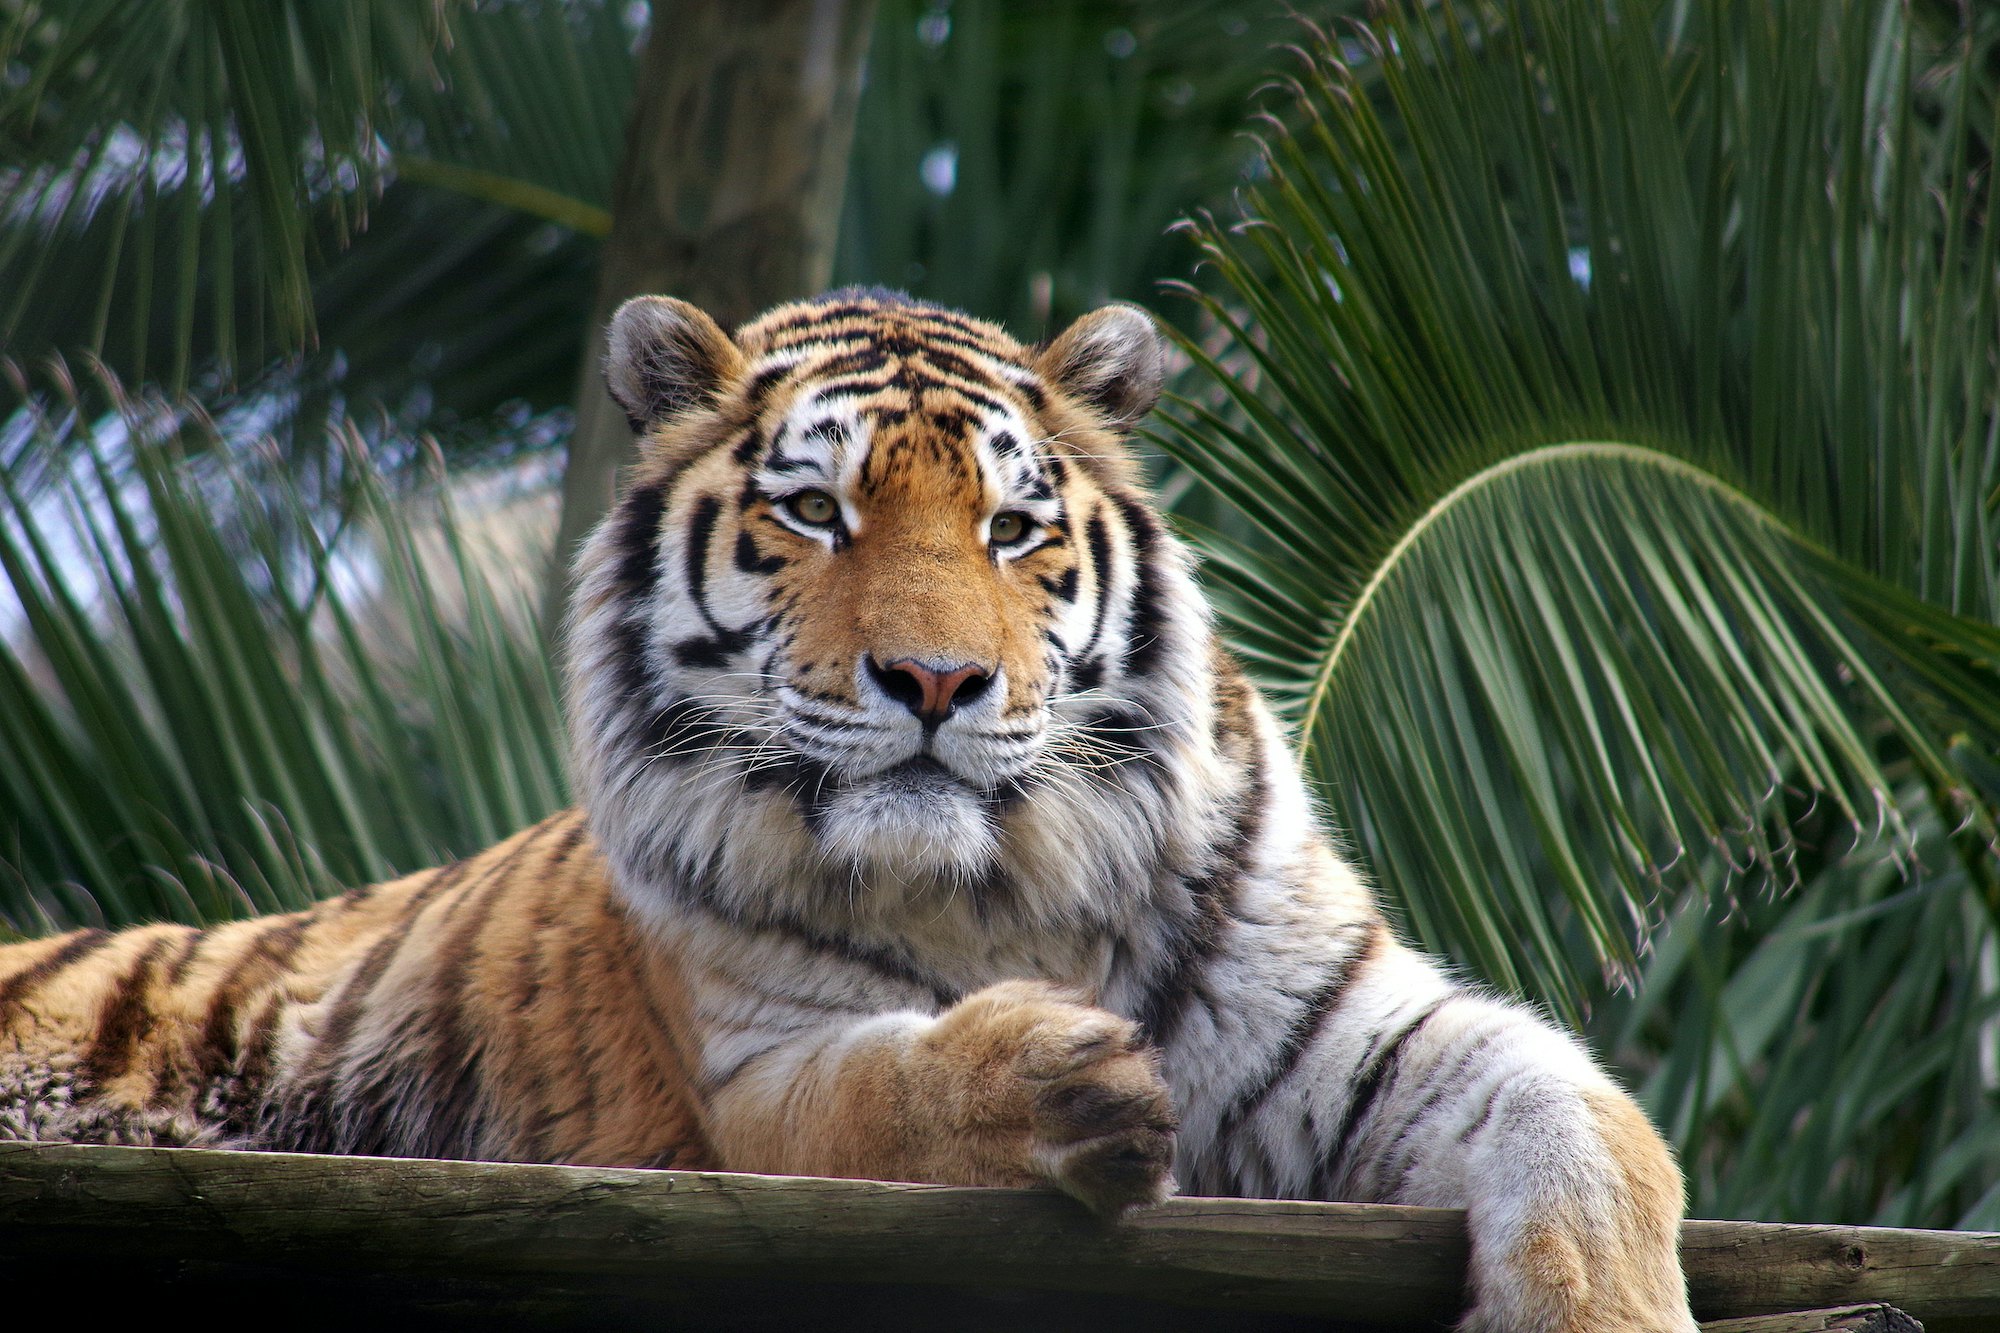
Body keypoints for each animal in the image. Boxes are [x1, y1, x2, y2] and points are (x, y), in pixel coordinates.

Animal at [0, 290, 1696, 1328]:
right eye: (814, 510)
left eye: (1012, 528)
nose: (935, 679)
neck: (1006, 886)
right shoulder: (755, 1074)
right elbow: (889, 1089)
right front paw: (1056, 1083)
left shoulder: (1359, 1026)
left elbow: (1597, 1124)